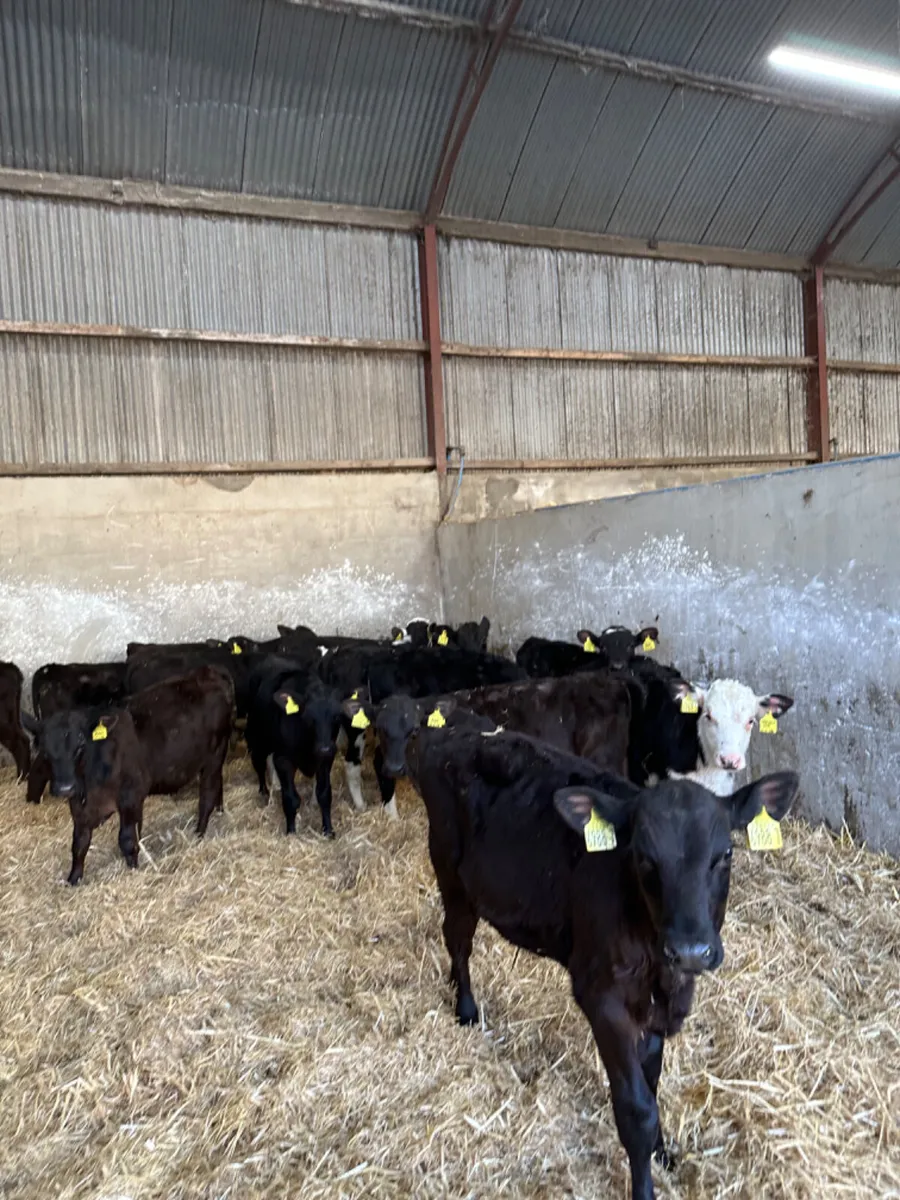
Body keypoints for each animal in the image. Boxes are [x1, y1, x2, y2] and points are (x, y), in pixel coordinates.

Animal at [22, 666, 234, 884]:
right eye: (45, 750)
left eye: (81, 745)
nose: (65, 787)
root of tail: (209, 670)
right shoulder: (79, 807)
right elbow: (79, 843)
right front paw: (73, 879)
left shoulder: (130, 797)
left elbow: (127, 839)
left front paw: (133, 869)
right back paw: (219, 811)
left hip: (214, 756)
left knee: (207, 794)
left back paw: (199, 833)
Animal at [407, 722, 799, 1200]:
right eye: (643, 857)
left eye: (725, 855)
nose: (690, 950)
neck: (657, 964)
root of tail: (458, 729)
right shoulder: (602, 997)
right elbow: (636, 1109)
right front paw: (644, 1186)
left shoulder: (658, 1005)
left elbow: (652, 1083)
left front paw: (662, 1152)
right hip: (449, 871)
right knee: (458, 940)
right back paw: (465, 1009)